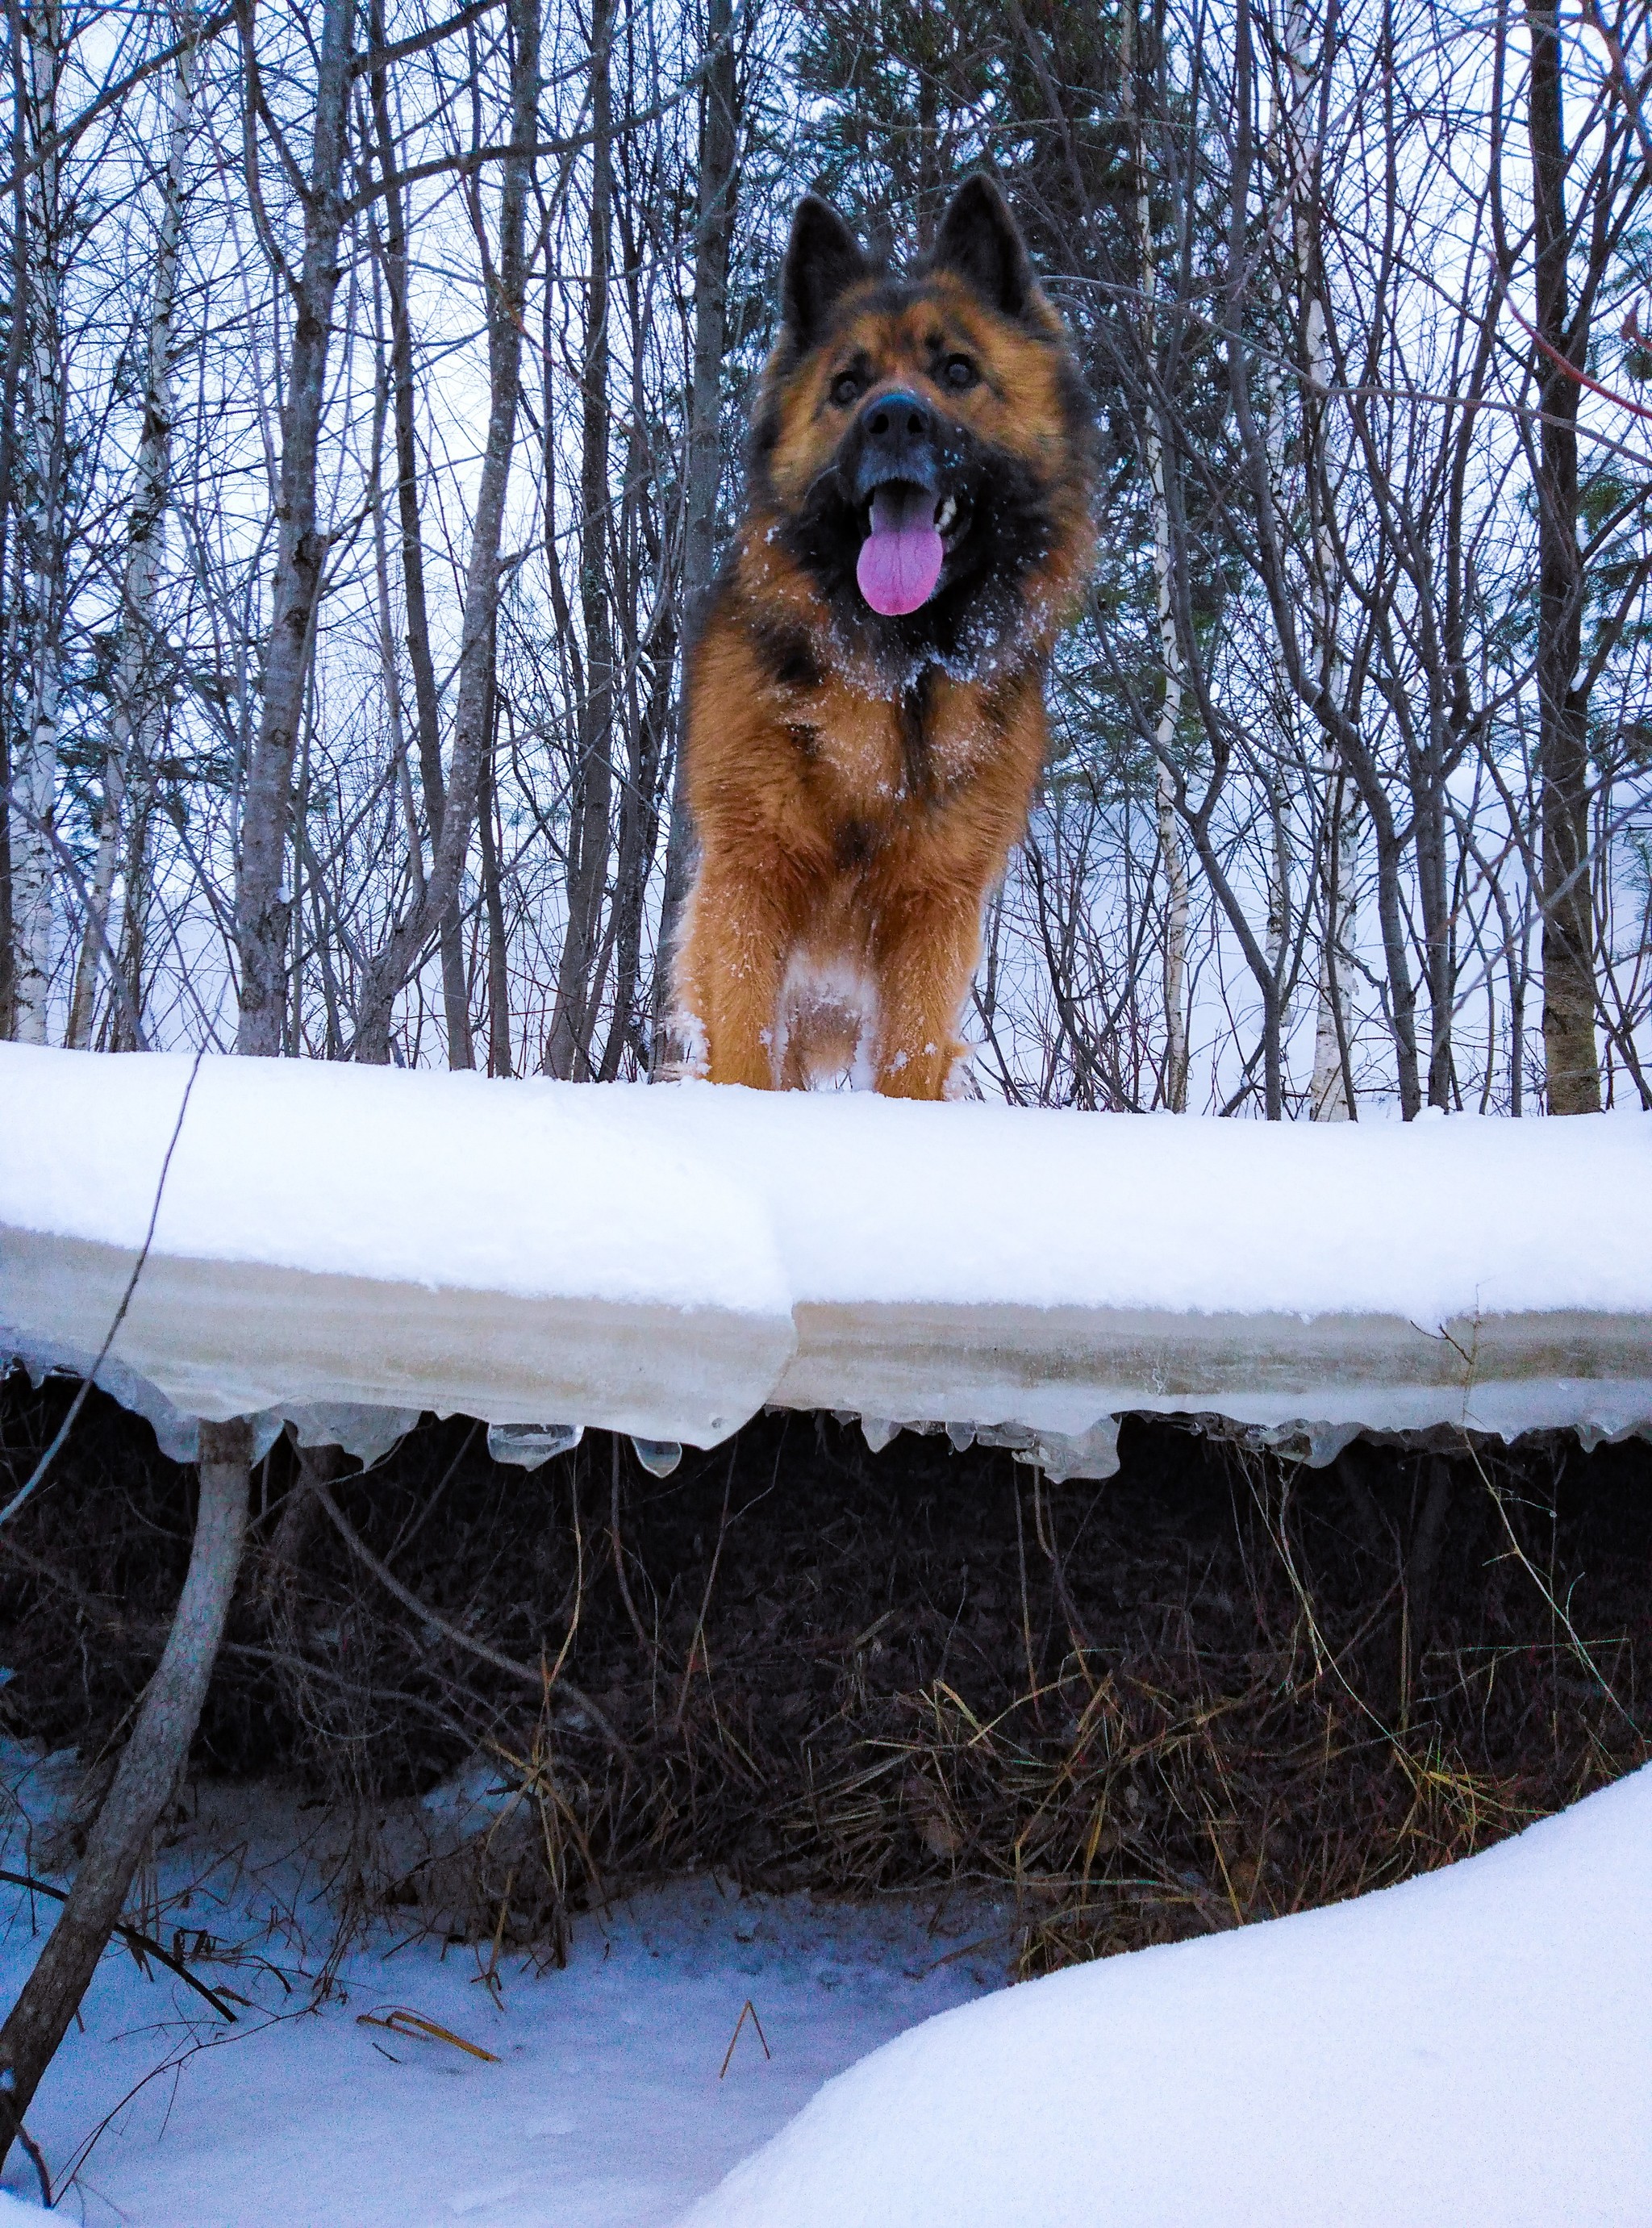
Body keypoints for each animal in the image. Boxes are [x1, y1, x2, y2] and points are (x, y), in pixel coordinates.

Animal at [669, 177, 1096, 1100]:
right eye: (846, 384)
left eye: (958, 371)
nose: (893, 420)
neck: (893, 676)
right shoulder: (746, 881)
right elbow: (742, 1049)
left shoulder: (936, 908)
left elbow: (909, 1061)